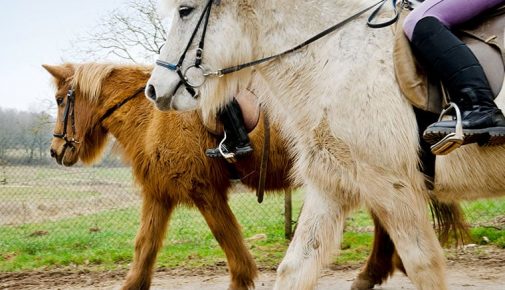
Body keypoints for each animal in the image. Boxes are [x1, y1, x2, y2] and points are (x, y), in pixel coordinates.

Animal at [43, 63, 460, 290]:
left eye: (62, 100)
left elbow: (228, 238)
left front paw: (242, 278)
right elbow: (144, 245)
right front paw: (132, 284)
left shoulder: (204, 190)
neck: (155, 116)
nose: (55, 150)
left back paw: (376, 270)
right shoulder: (160, 194)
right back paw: (379, 270)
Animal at [146, 0, 504, 290]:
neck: (337, 60)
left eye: (184, 10)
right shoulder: (330, 186)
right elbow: (294, 268)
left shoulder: (393, 186)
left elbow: (423, 265)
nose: (153, 89)